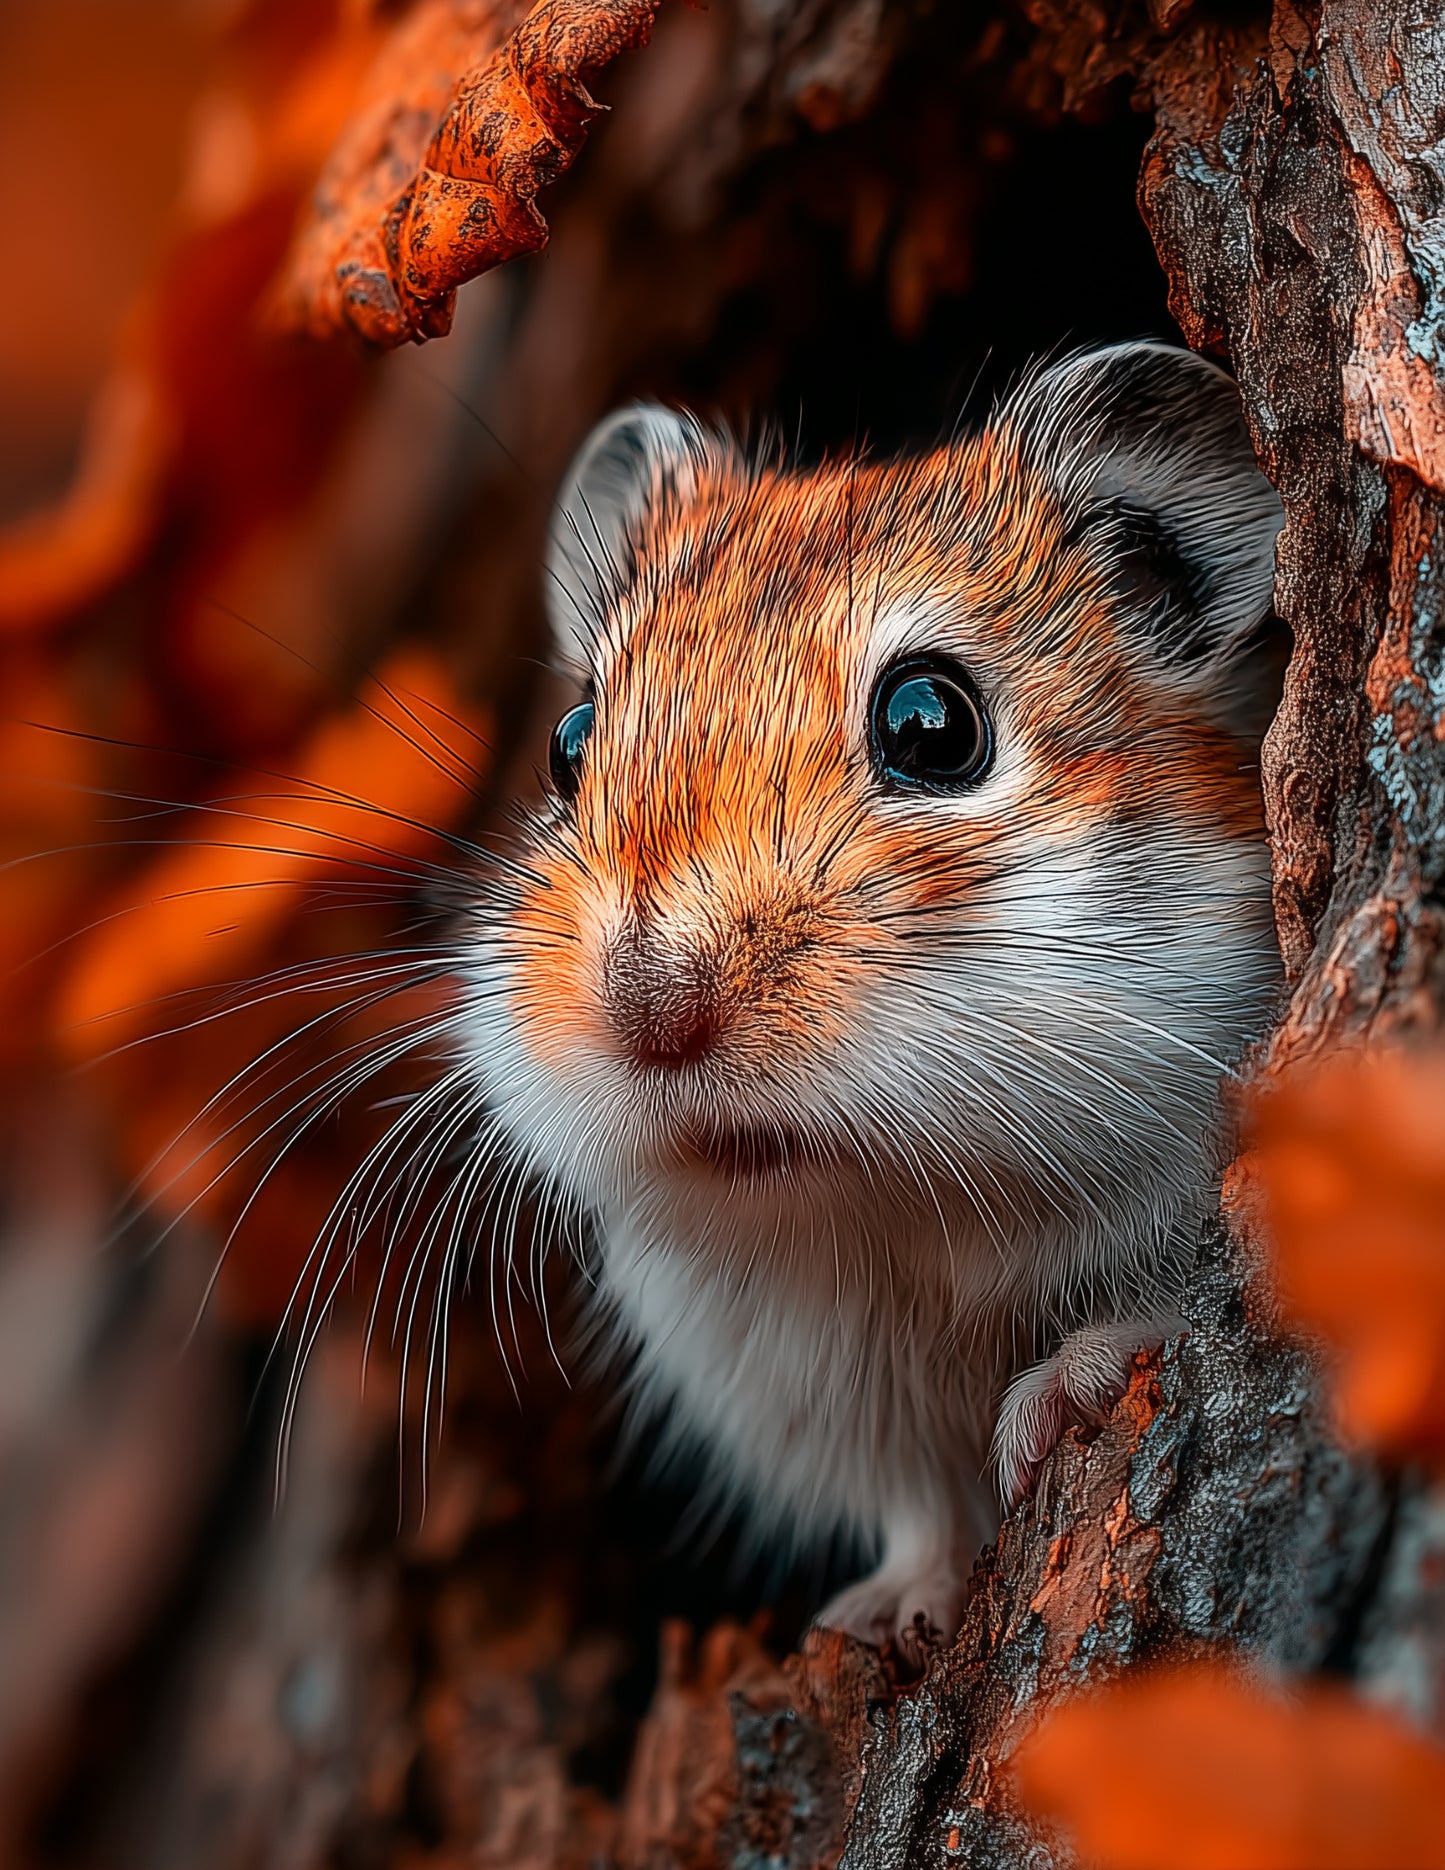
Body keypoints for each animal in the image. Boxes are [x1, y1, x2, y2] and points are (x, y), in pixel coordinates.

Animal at [459, 341, 1283, 1648]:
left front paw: (1062, 1397)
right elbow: (920, 1507)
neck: (900, 1210)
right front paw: (873, 1616)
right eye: (568, 743)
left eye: (930, 721)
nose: (651, 1010)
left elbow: (1171, 1308)